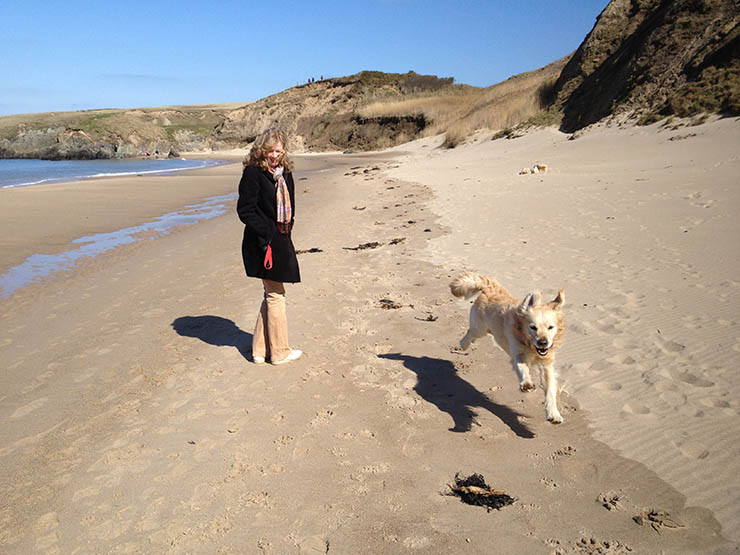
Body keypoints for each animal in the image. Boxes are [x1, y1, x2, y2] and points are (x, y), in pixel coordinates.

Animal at [450, 272, 568, 424]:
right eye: (533, 327)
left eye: (550, 327)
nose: (543, 342)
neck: (531, 346)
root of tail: (490, 287)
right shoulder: (518, 354)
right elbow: (523, 369)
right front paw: (526, 383)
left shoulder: (546, 364)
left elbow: (550, 390)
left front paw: (554, 414)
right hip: (480, 328)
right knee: (471, 333)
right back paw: (463, 344)